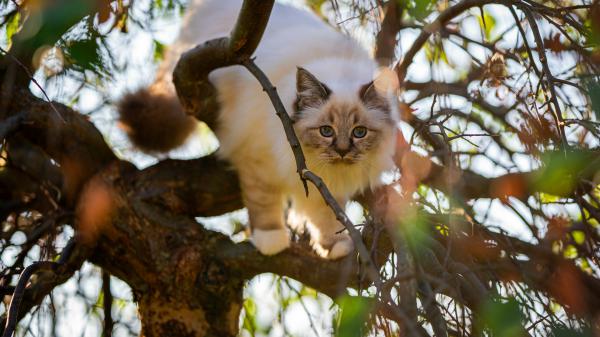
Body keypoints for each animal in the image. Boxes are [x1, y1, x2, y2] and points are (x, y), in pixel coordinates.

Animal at [117, 0, 398, 258]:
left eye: (359, 132)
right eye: (326, 131)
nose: (341, 151)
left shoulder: (327, 185)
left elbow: (328, 215)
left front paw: (334, 246)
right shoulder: (259, 159)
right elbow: (263, 202)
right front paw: (271, 240)